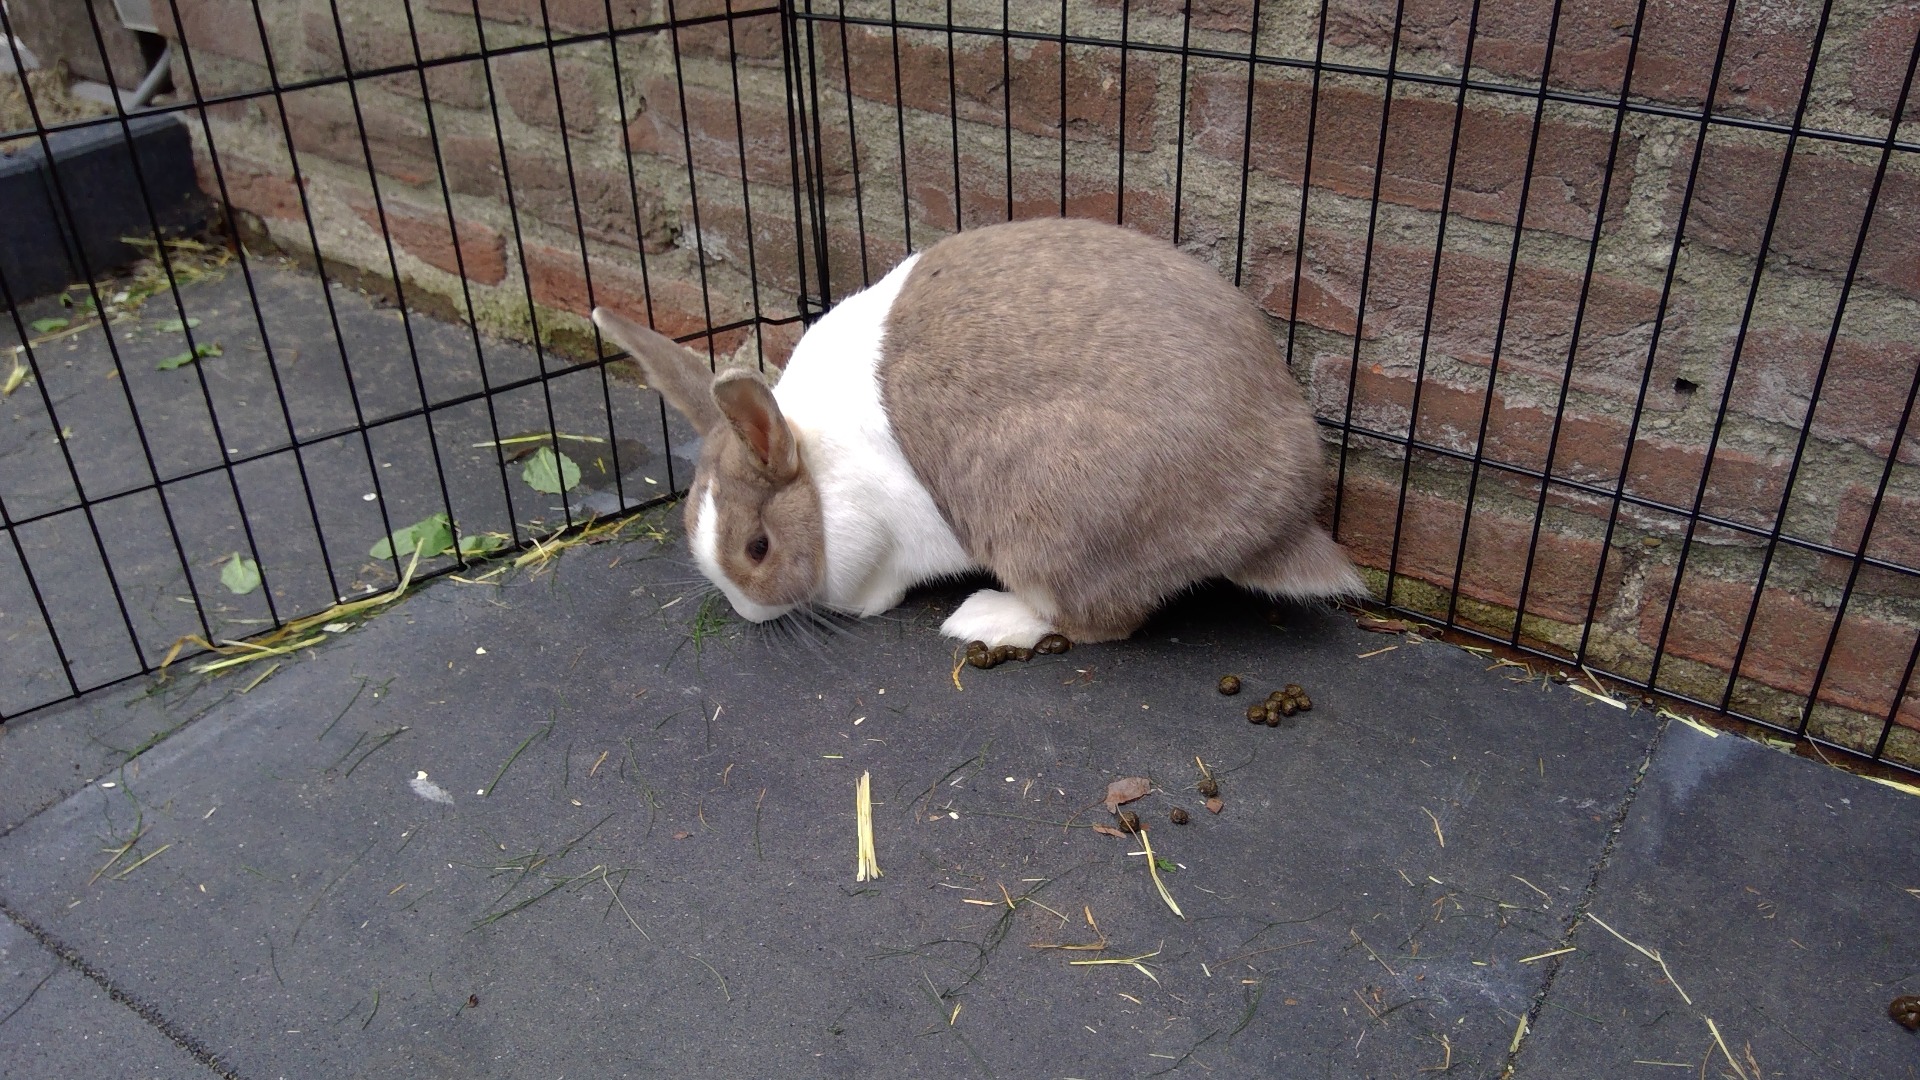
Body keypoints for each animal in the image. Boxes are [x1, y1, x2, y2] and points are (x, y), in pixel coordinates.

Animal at [590, 216, 1365, 648]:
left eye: (758, 547)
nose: (748, 615)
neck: (821, 474)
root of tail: (1281, 522)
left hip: (1053, 528)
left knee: (1100, 621)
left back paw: (985, 620)